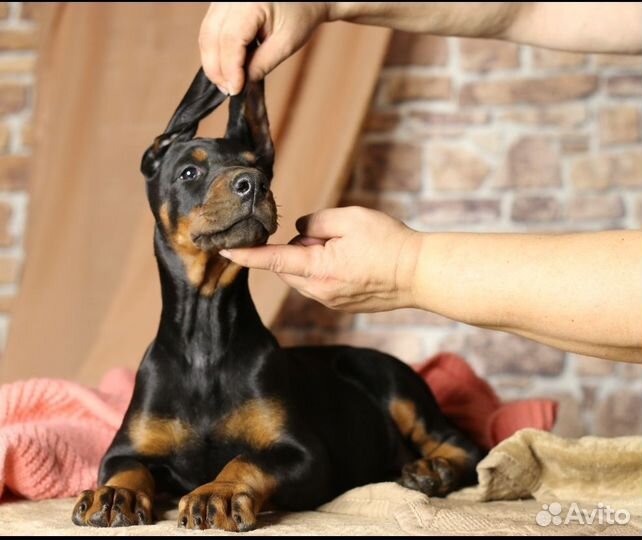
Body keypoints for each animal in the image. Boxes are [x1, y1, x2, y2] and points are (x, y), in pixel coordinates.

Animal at [70, 67, 480, 532]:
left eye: (256, 165)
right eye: (188, 172)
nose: (253, 184)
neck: (205, 335)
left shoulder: (304, 453)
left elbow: (245, 460)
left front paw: (217, 492)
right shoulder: (123, 447)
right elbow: (126, 466)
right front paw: (113, 494)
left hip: (398, 386)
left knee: (465, 444)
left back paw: (434, 469)